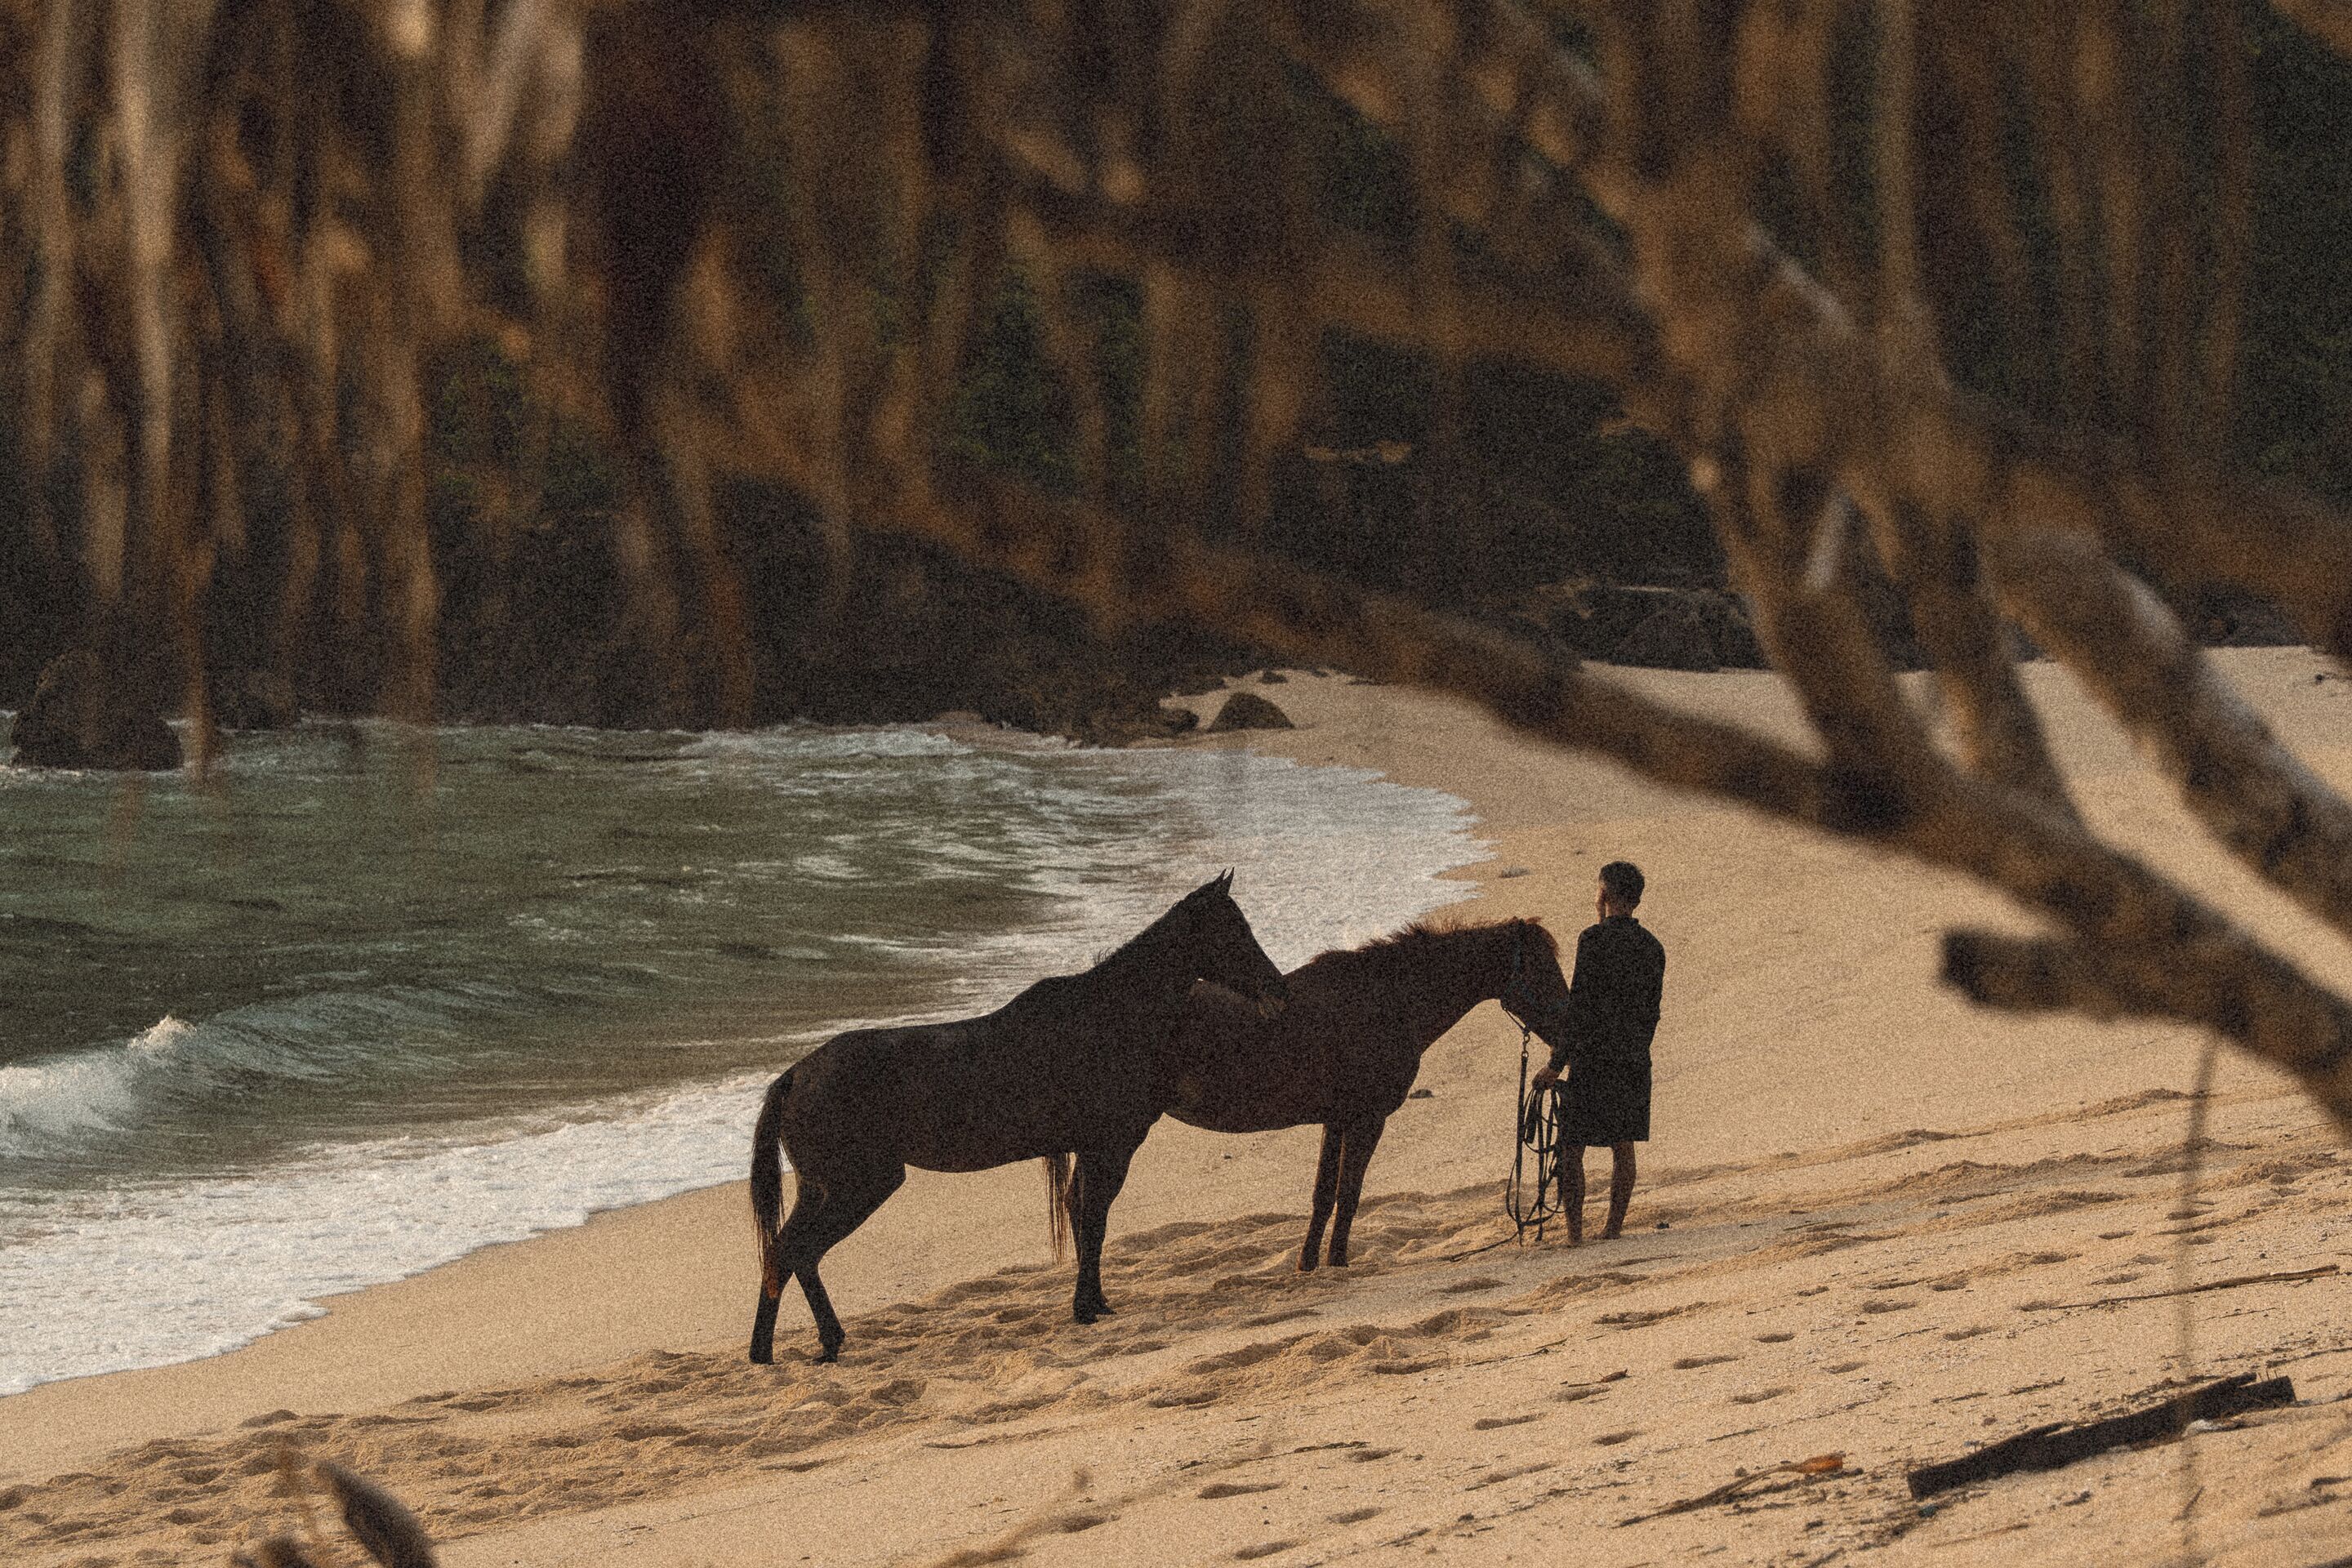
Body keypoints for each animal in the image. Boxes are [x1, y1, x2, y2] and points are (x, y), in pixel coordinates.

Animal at [748, 871, 1290, 1364]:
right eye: (1233, 931)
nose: (1278, 991)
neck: (1109, 1017)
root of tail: (794, 1075)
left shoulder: (1093, 1148)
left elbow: (1083, 1216)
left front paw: (1095, 1303)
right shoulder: (1109, 1146)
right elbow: (1092, 1219)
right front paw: (1085, 1307)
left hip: (823, 1188)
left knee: (788, 1253)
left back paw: (791, 1348)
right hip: (857, 1186)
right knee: (795, 1252)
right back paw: (800, 1347)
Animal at [1164, 915, 1571, 1271]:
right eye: (1542, 969)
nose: (1570, 1033)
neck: (1388, 1002)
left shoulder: (1337, 1120)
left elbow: (1325, 1195)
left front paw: (1308, 1265)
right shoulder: (1367, 1119)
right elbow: (1348, 1194)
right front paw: (1337, 1263)